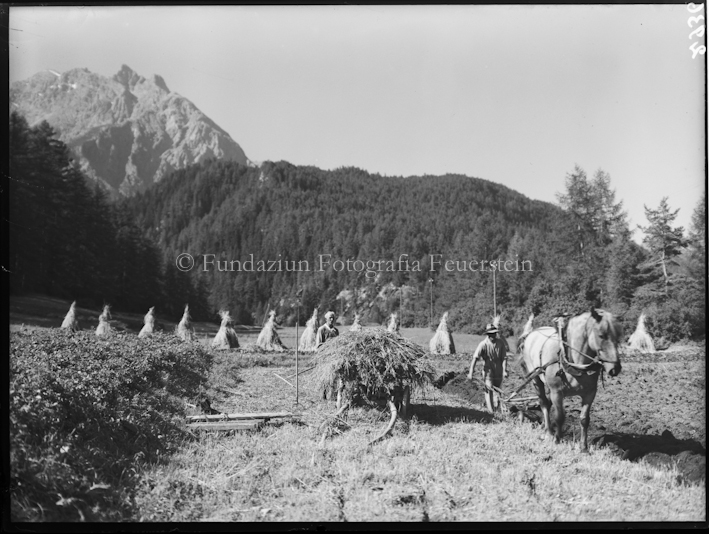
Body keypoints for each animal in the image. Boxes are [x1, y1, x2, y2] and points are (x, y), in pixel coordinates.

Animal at [516, 310, 624, 452]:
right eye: (601, 335)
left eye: (618, 336)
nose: (615, 368)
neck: (574, 362)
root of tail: (532, 333)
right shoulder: (556, 392)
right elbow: (559, 417)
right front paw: (557, 440)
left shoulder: (590, 393)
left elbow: (584, 419)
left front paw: (584, 447)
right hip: (535, 379)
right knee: (544, 403)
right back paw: (548, 432)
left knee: (547, 404)